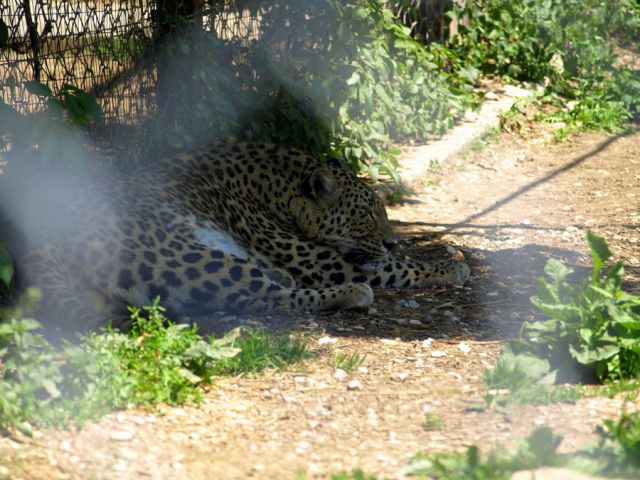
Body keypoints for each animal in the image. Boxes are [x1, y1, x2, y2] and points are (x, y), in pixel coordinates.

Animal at [20, 142, 470, 334]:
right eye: (365, 215)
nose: (392, 240)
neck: (279, 183)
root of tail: (41, 230)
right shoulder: (316, 258)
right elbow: (397, 267)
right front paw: (449, 267)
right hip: (184, 253)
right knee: (266, 295)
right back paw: (351, 294)